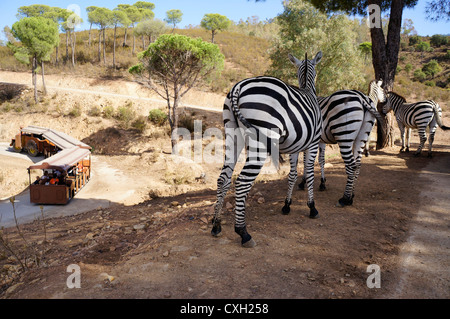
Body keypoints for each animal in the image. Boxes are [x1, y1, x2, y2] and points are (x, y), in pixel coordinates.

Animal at [212, 51, 324, 249]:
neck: (307, 89)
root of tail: (238, 87)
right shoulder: (313, 142)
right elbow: (310, 173)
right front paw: (312, 207)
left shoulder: (295, 146)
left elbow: (293, 174)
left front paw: (287, 205)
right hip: (261, 140)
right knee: (241, 182)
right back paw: (243, 232)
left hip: (233, 133)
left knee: (223, 178)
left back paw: (216, 225)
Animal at [296, 80, 386, 208]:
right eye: (383, 90)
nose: (385, 101)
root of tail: (362, 97)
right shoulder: (319, 140)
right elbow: (320, 160)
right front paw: (321, 183)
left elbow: (307, 160)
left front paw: (304, 182)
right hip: (360, 135)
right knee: (357, 164)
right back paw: (351, 195)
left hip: (344, 134)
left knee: (351, 165)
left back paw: (345, 199)